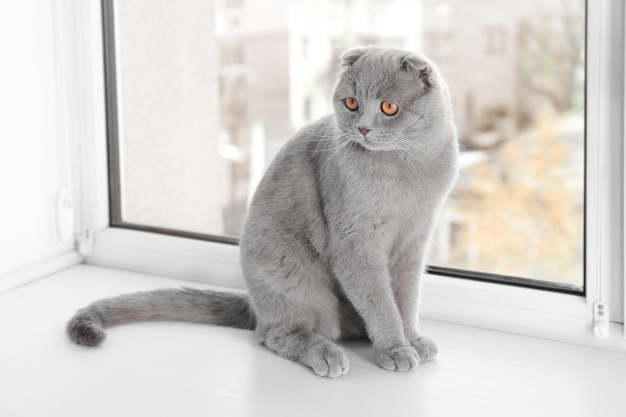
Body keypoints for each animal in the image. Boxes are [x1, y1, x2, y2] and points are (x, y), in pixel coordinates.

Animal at [68, 46, 456, 376]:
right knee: (275, 333)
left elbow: (406, 296)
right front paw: (395, 348)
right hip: (294, 275)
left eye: (388, 107)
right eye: (350, 102)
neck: (408, 168)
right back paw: (326, 354)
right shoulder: (356, 242)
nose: (362, 127)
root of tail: (254, 305)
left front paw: (412, 339)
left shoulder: (416, 239)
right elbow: (380, 301)